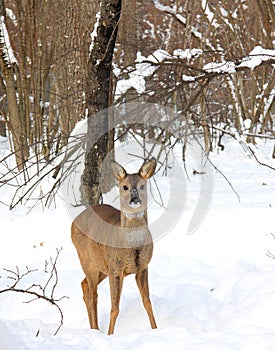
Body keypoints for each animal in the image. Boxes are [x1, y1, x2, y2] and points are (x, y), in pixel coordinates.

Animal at [71, 158, 157, 334]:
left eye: (142, 185)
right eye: (125, 186)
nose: (135, 199)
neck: (132, 248)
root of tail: (73, 223)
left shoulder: (143, 267)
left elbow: (147, 302)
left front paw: (156, 329)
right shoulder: (116, 270)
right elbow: (114, 309)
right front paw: (110, 335)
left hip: (102, 266)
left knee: (84, 285)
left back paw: (94, 328)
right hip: (86, 259)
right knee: (93, 294)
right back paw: (96, 329)